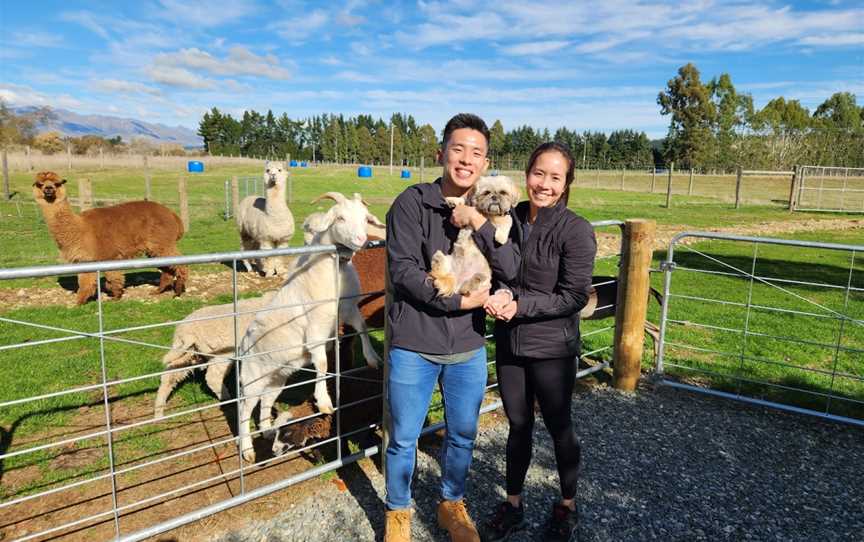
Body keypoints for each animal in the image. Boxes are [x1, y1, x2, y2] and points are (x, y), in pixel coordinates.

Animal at [238, 192, 384, 464]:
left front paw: (372, 358)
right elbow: (323, 364)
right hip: (252, 377)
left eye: (365, 218)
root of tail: (243, 344)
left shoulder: (348, 311)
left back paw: (267, 431)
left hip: (277, 376)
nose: (361, 240)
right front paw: (324, 401)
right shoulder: (316, 328)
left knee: (265, 400)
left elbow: (363, 329)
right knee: (244, 409)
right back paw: (247, 450)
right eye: (339, 217)